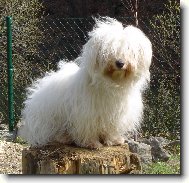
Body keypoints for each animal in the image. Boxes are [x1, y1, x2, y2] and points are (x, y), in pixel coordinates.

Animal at [18, 16, 152, 149]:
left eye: (129, 50)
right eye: (108, 50)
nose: (120, 63)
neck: (111, 84)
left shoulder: (116, 115)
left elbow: (111, 128)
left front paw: (114, 140)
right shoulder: (86, 113)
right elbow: (87, 128)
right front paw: (91, 143)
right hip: (49, 118)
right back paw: (63, 138)